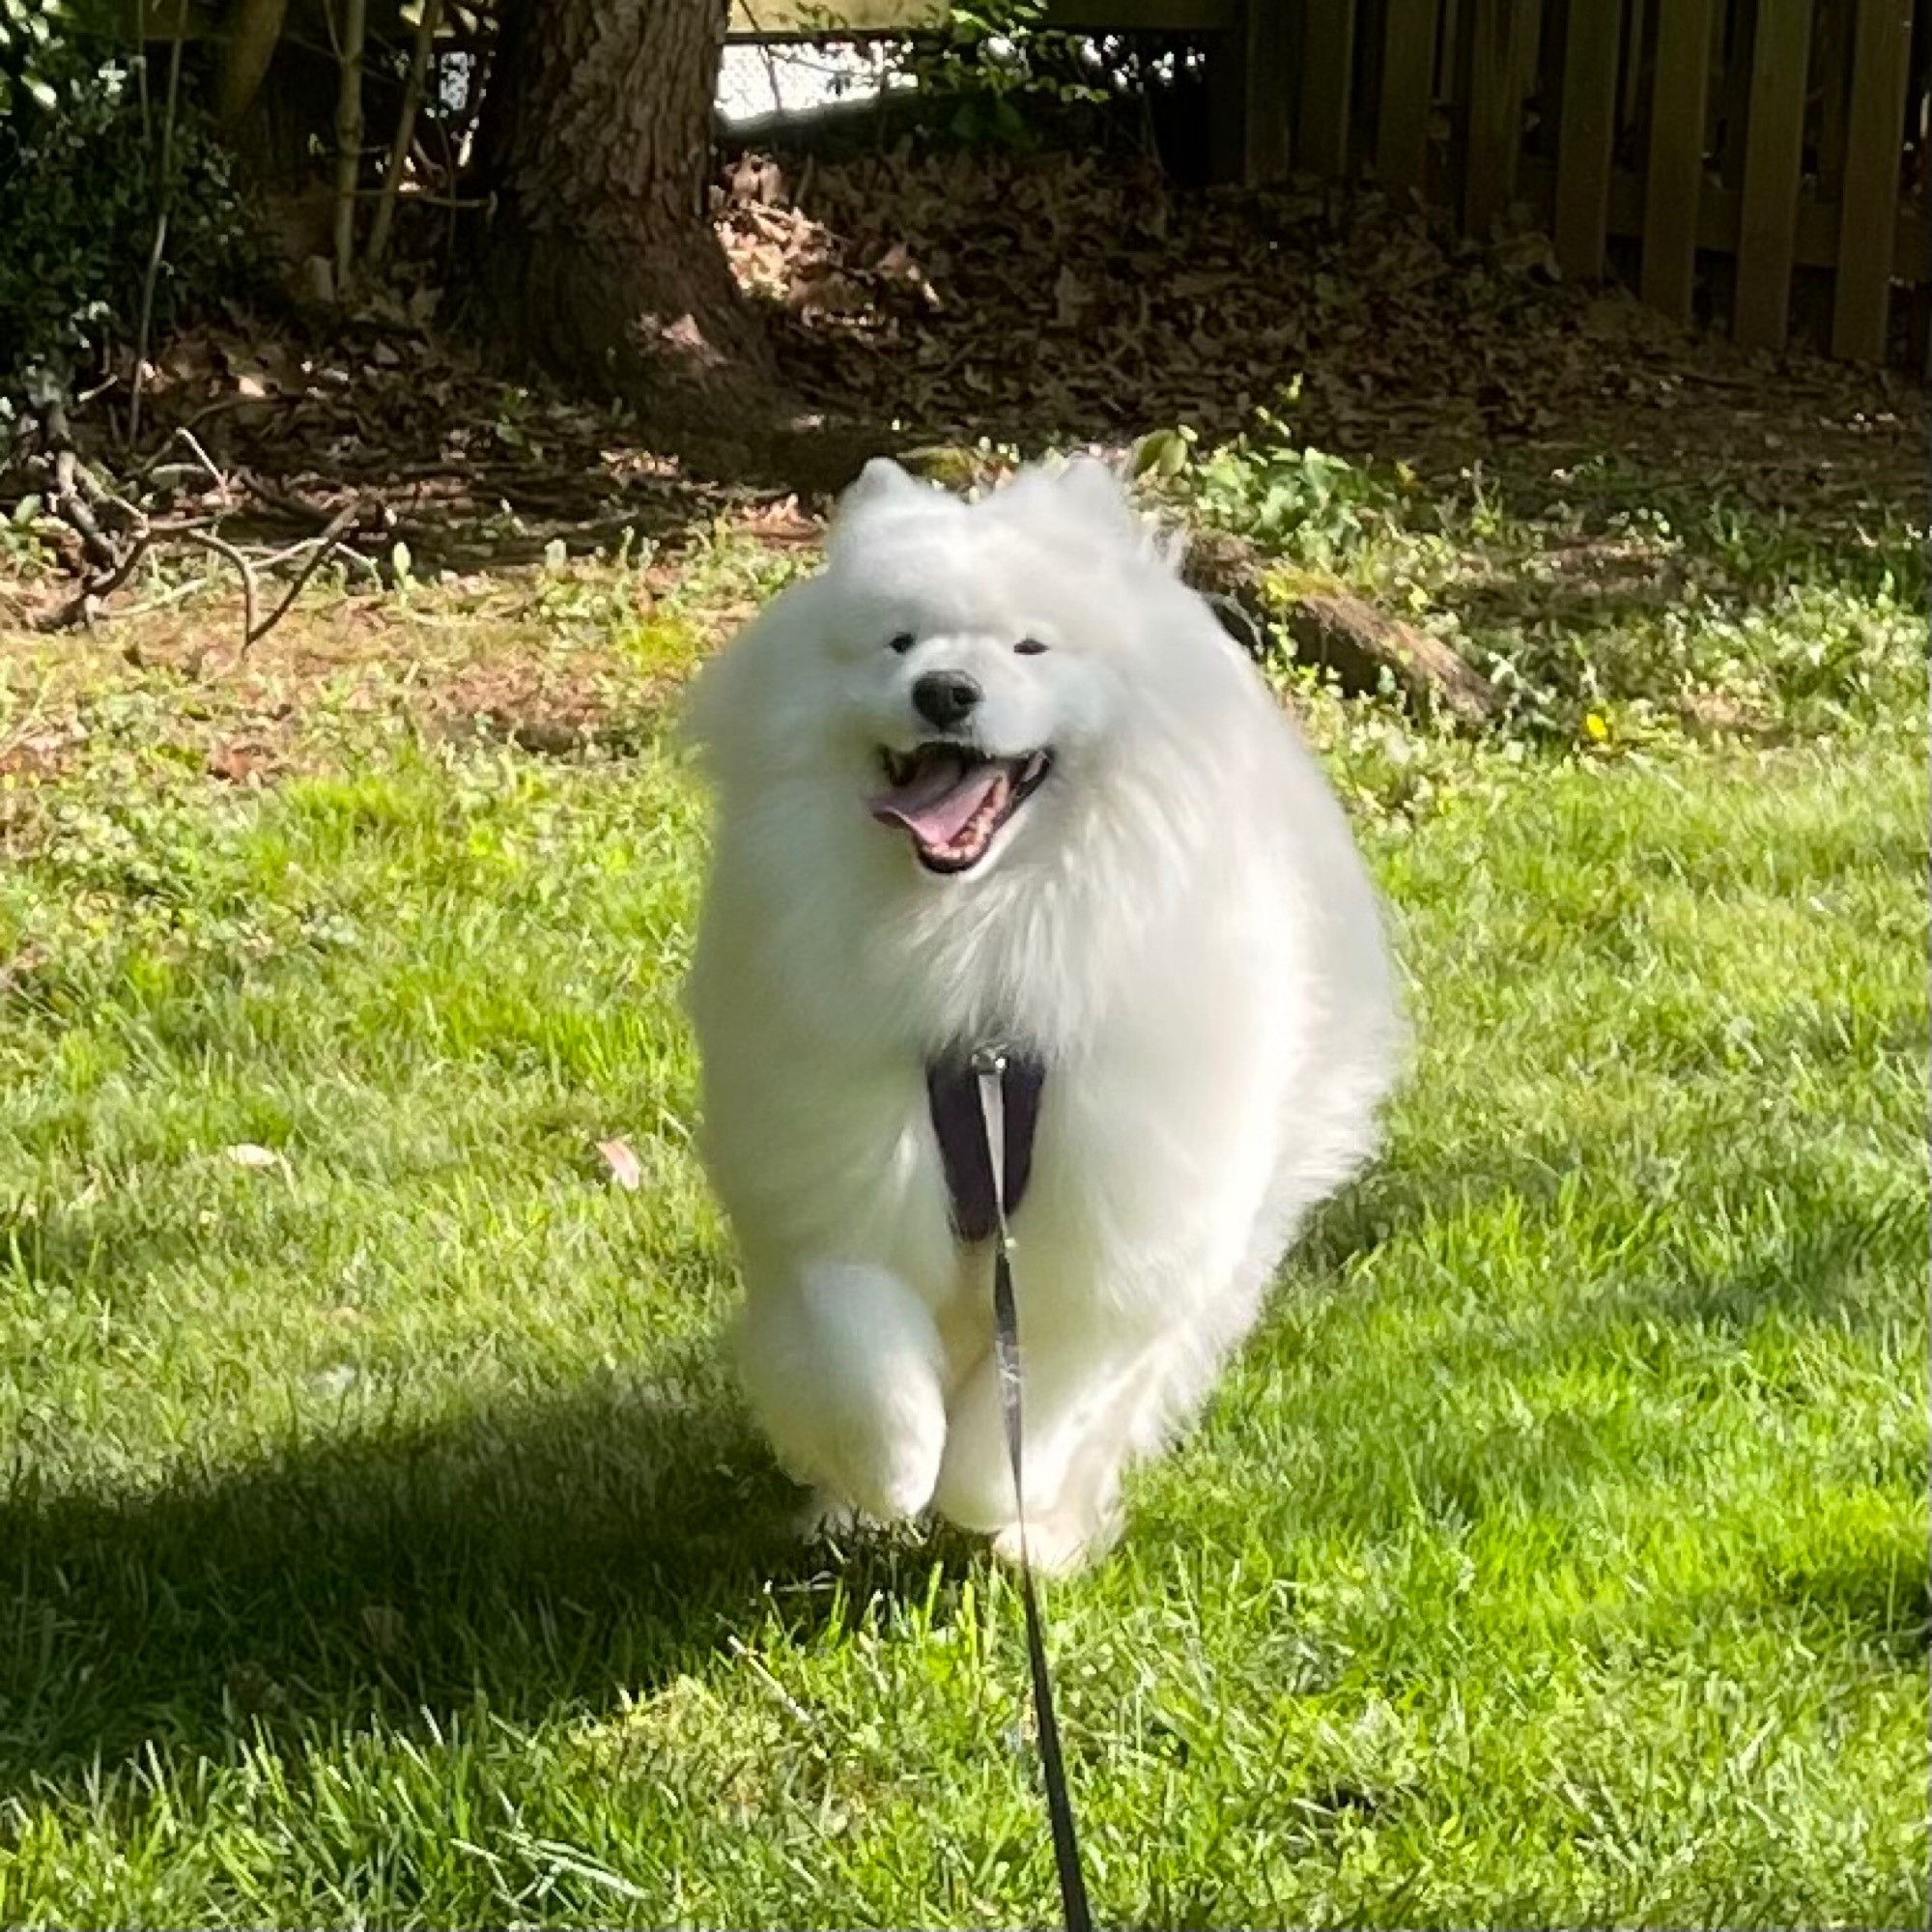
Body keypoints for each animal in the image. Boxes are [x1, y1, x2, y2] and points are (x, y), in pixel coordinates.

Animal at [688, 460, 1399, 1577]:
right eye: (899, 641)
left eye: (1030, 647)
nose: (945, 690)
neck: (976, 946)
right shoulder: (836, 1182)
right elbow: (863, 1357)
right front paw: (890, 1477)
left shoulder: (1111, 1237)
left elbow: (1034, 1408)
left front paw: (992, 1503)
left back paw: (1040, 1535)